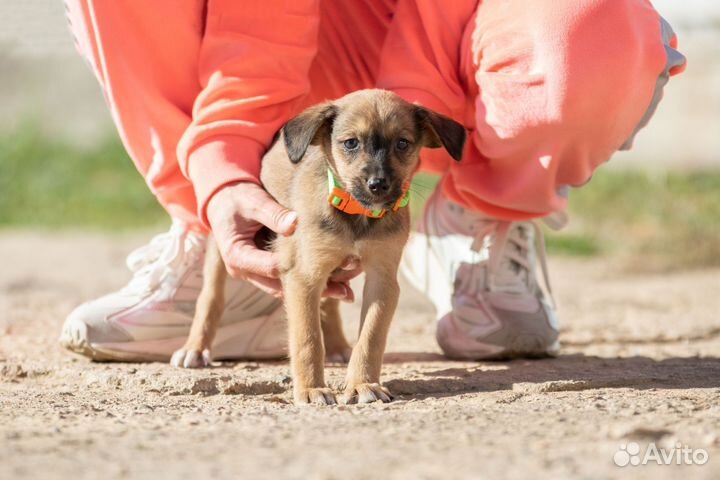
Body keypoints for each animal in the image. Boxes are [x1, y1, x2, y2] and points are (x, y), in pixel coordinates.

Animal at [171, 90, 464, 404]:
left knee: (329, 304)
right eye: (351, 143)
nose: (378, 184)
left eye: (403, 143)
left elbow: (370, 337)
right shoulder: (303, 276)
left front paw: (363, 383)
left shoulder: (382, 279)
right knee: (211, 297)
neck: (357, 214)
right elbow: (307, 339)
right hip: (222, 247)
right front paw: (312, 390)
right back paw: (195, 348)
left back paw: (336, 346)